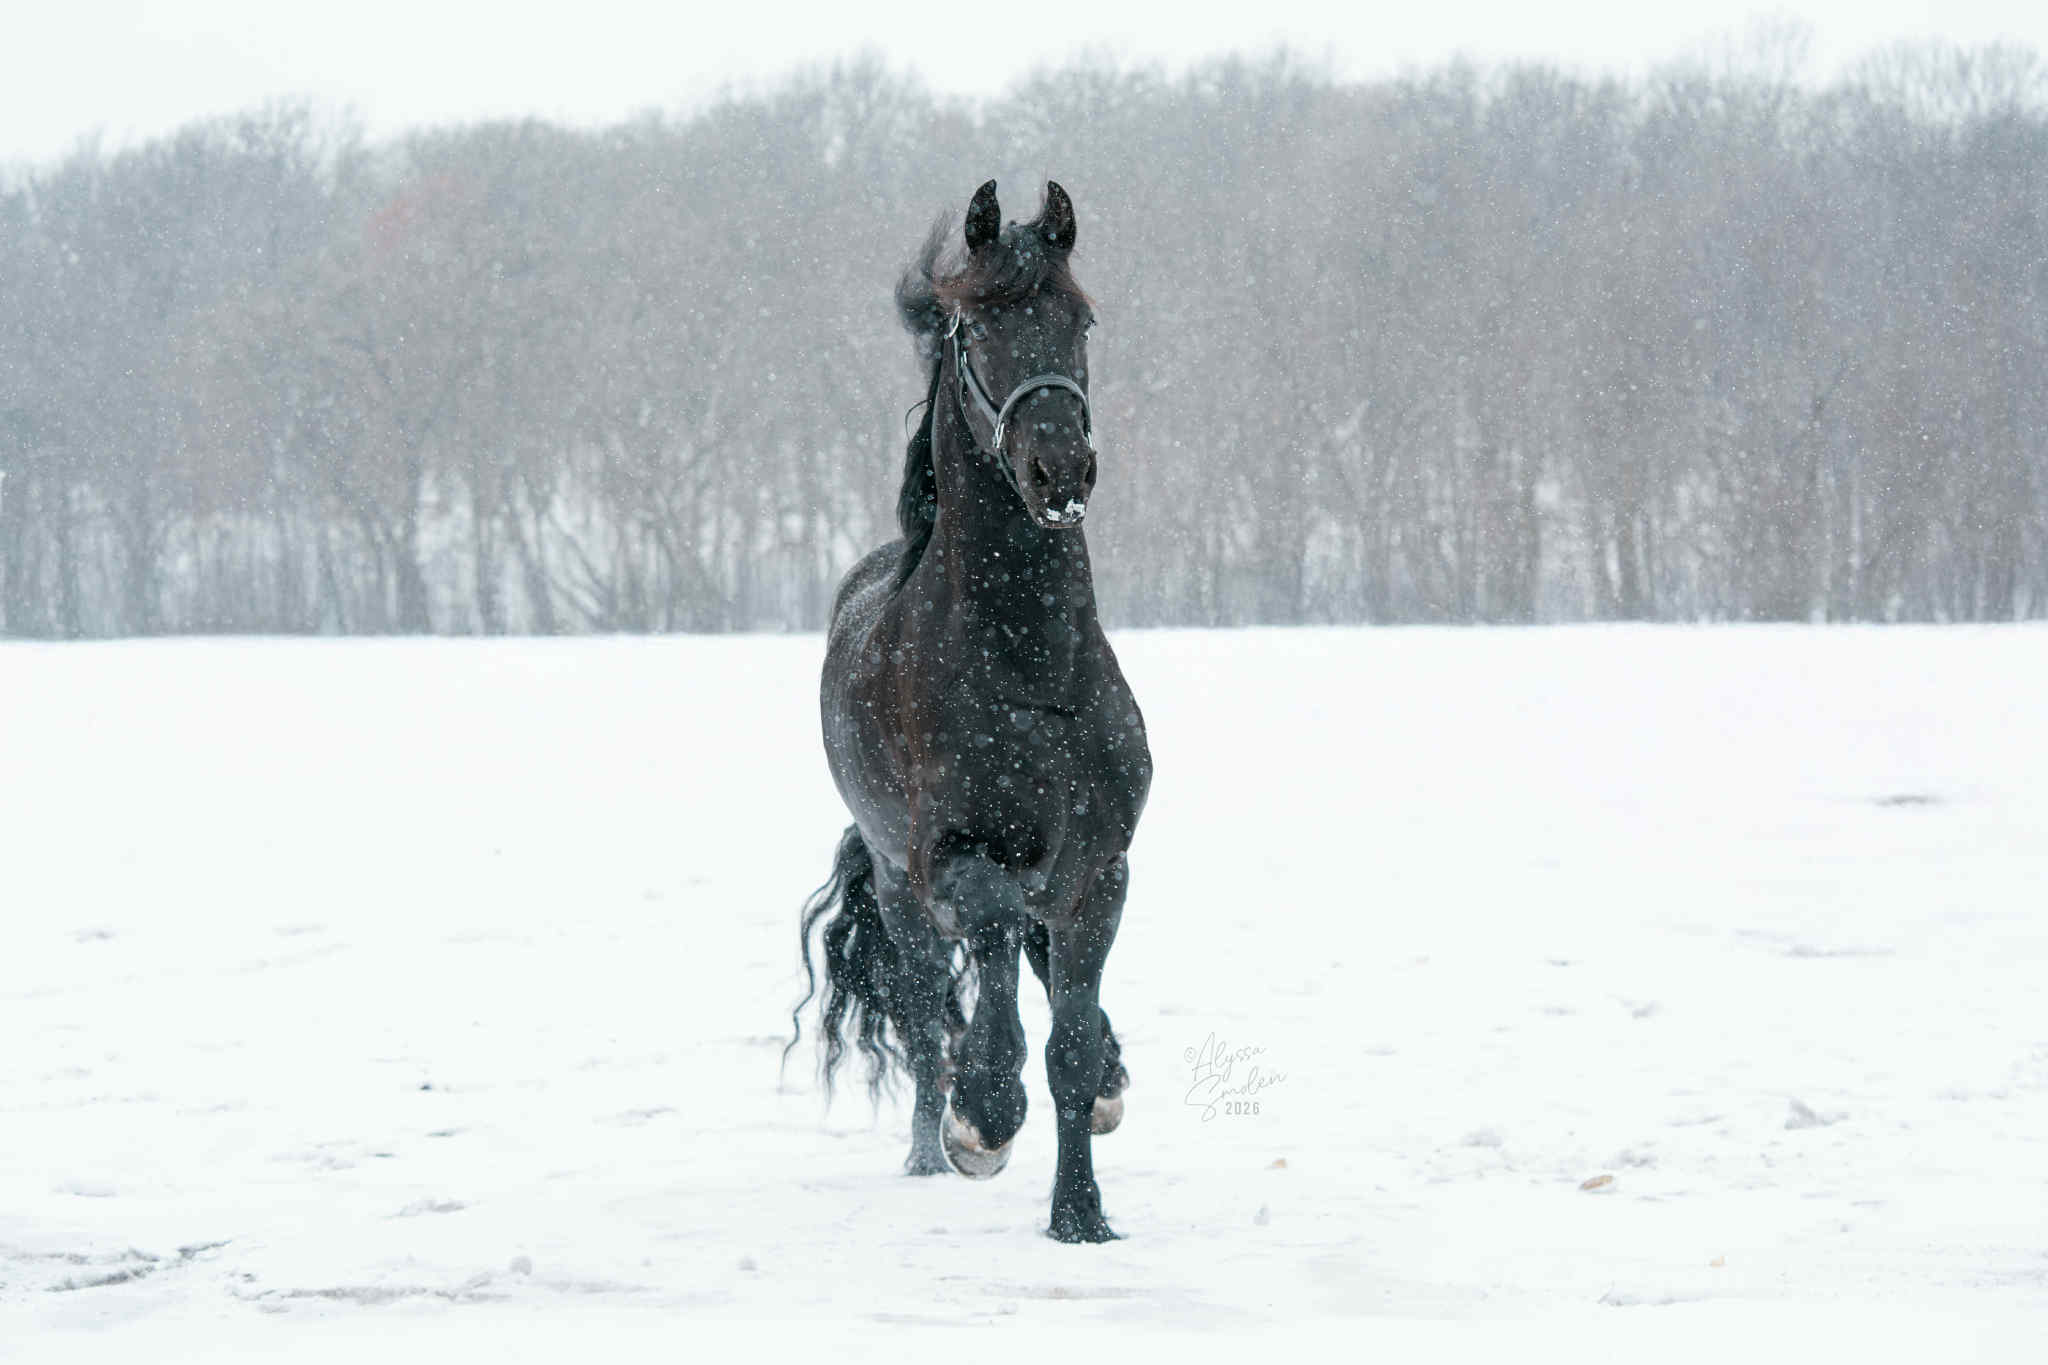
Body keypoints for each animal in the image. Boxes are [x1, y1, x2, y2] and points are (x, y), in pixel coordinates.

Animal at [789, 180, 1151, 1243]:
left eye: (1081, 320)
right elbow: (985, 976)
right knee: (922, 1011)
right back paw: (928, 1147)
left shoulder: (1098, 869)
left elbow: (1069, 1044)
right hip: (903, 896)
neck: (1034, 676)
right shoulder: (954, 858)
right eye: (980, 327)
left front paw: (1081, 1215)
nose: (1060, 469)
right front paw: (981, 1118)